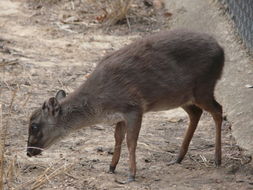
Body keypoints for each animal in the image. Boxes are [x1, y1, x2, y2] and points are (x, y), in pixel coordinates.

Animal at [26, 29, 224, 181]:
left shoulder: (134, 107)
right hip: (181, 96)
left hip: (203, 87)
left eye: (34, 126)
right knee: (196, 112)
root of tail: (221, 51)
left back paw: (217, 159)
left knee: (218, 110)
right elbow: (117, 138)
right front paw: (111, 167)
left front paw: (131, 175)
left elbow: (131, 141)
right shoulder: (119, 116)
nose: (28, 152)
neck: (99, 102)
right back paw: (178, 158)